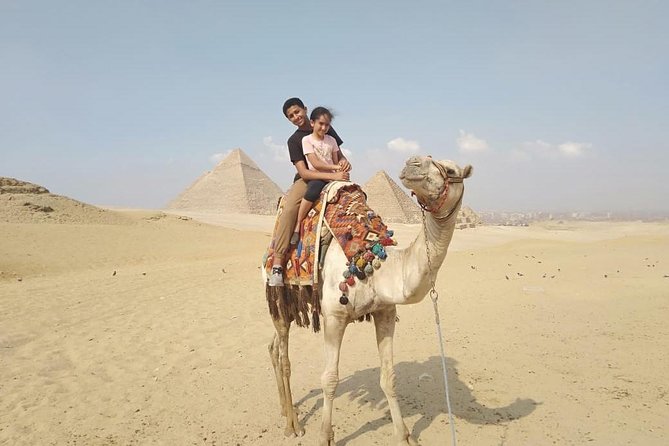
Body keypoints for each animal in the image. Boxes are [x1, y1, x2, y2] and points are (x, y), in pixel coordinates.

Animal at [263, 155, 473, 445]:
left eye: (451, 170)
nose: (413, 162)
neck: (377, 264)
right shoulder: (334, 316)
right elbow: (330, 379)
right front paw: (325, 436)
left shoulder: (385, 312)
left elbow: (389, 378)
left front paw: (404, 435)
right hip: (279, 294)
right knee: (285, 358)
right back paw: (293, 425)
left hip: (294, 302)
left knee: (273, 347)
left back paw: (286, 409)